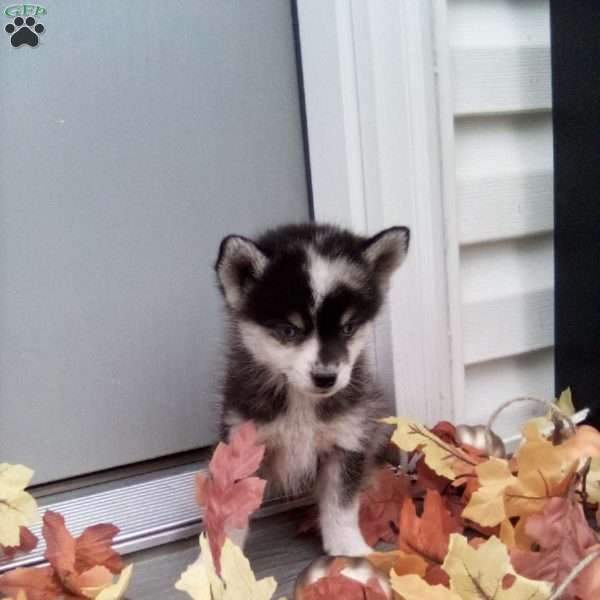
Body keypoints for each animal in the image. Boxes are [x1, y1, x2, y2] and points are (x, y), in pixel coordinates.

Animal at [214, 223, 408, 556]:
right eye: (289, 330)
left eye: (348, 328)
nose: (326, 377)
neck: (301, 404)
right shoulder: (242, 449)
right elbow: (232, 514)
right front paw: (221, 560)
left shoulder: (346, 441)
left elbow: (341, 507)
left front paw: (350, 551)